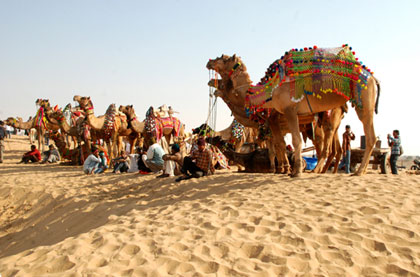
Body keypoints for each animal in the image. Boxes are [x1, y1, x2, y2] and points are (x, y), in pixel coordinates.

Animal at [208, 44, 380, 176]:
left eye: (223, 57)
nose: (209, 62)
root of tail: (373, 77)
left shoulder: (285, 112)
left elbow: (290, 142)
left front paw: (292, 170)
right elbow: (279, 145)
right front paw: (283, 169)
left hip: (361, 98)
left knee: (353, 138)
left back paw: (344, 170)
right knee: (338, 146)